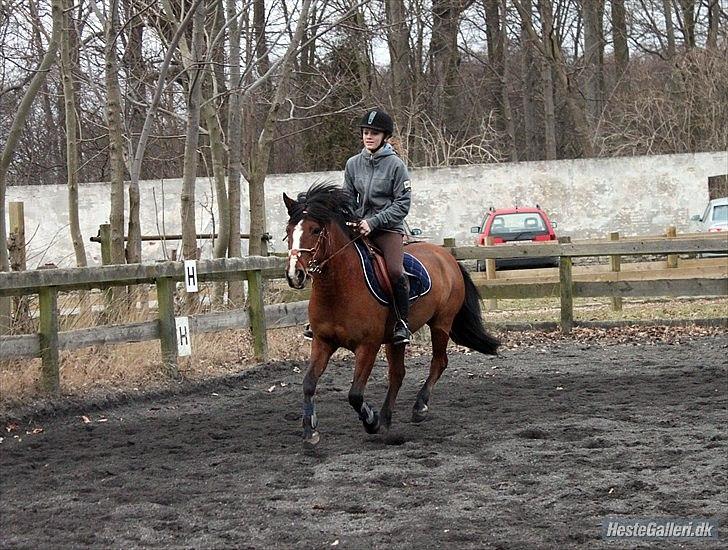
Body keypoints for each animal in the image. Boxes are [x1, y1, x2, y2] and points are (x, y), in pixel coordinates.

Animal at [282, 183, 498, 446]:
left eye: (314, 230)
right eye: (288, 230)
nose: (295, 275)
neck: (339, 288)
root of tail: (447, 256)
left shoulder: (368, 345)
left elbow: (355, 394)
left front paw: (371, 421)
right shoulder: (323, 342)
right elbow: (308, 384)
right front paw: (310, 431)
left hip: (441, 324)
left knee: (439, 362)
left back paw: (418, 408)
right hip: (396, 340)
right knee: (398, 374)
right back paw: (386, 418)